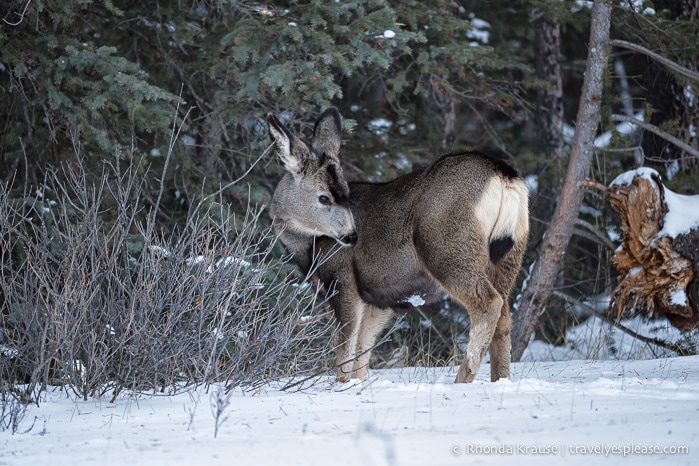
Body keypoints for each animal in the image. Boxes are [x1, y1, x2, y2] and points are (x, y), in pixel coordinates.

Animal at [268, 107, 532, 384]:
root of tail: (504, 175)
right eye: (324, 197)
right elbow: (361, 354)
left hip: (445, 247)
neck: (307, 248)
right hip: (510, 253)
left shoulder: (341, 278)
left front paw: (341, 386)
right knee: (505, 317)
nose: (351, 236)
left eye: (341, 194)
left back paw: (462, 381)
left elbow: (345, 349)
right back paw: (500, 380)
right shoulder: (378, 300)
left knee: (488, 304)